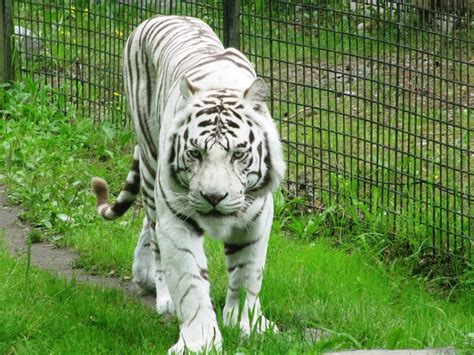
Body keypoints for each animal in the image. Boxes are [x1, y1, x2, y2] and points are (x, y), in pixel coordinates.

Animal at [93, 15, 286, 354]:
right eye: (196, 153)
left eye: (238, 154)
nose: (214, 197)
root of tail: (160, 16)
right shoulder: (176, 219)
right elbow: (190, 283)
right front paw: (199, 342)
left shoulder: (258, 217)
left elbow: (248, 274)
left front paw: (246, 326)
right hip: (151, 165)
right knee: (154, 233)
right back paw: (161, 293)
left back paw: (141, 275)